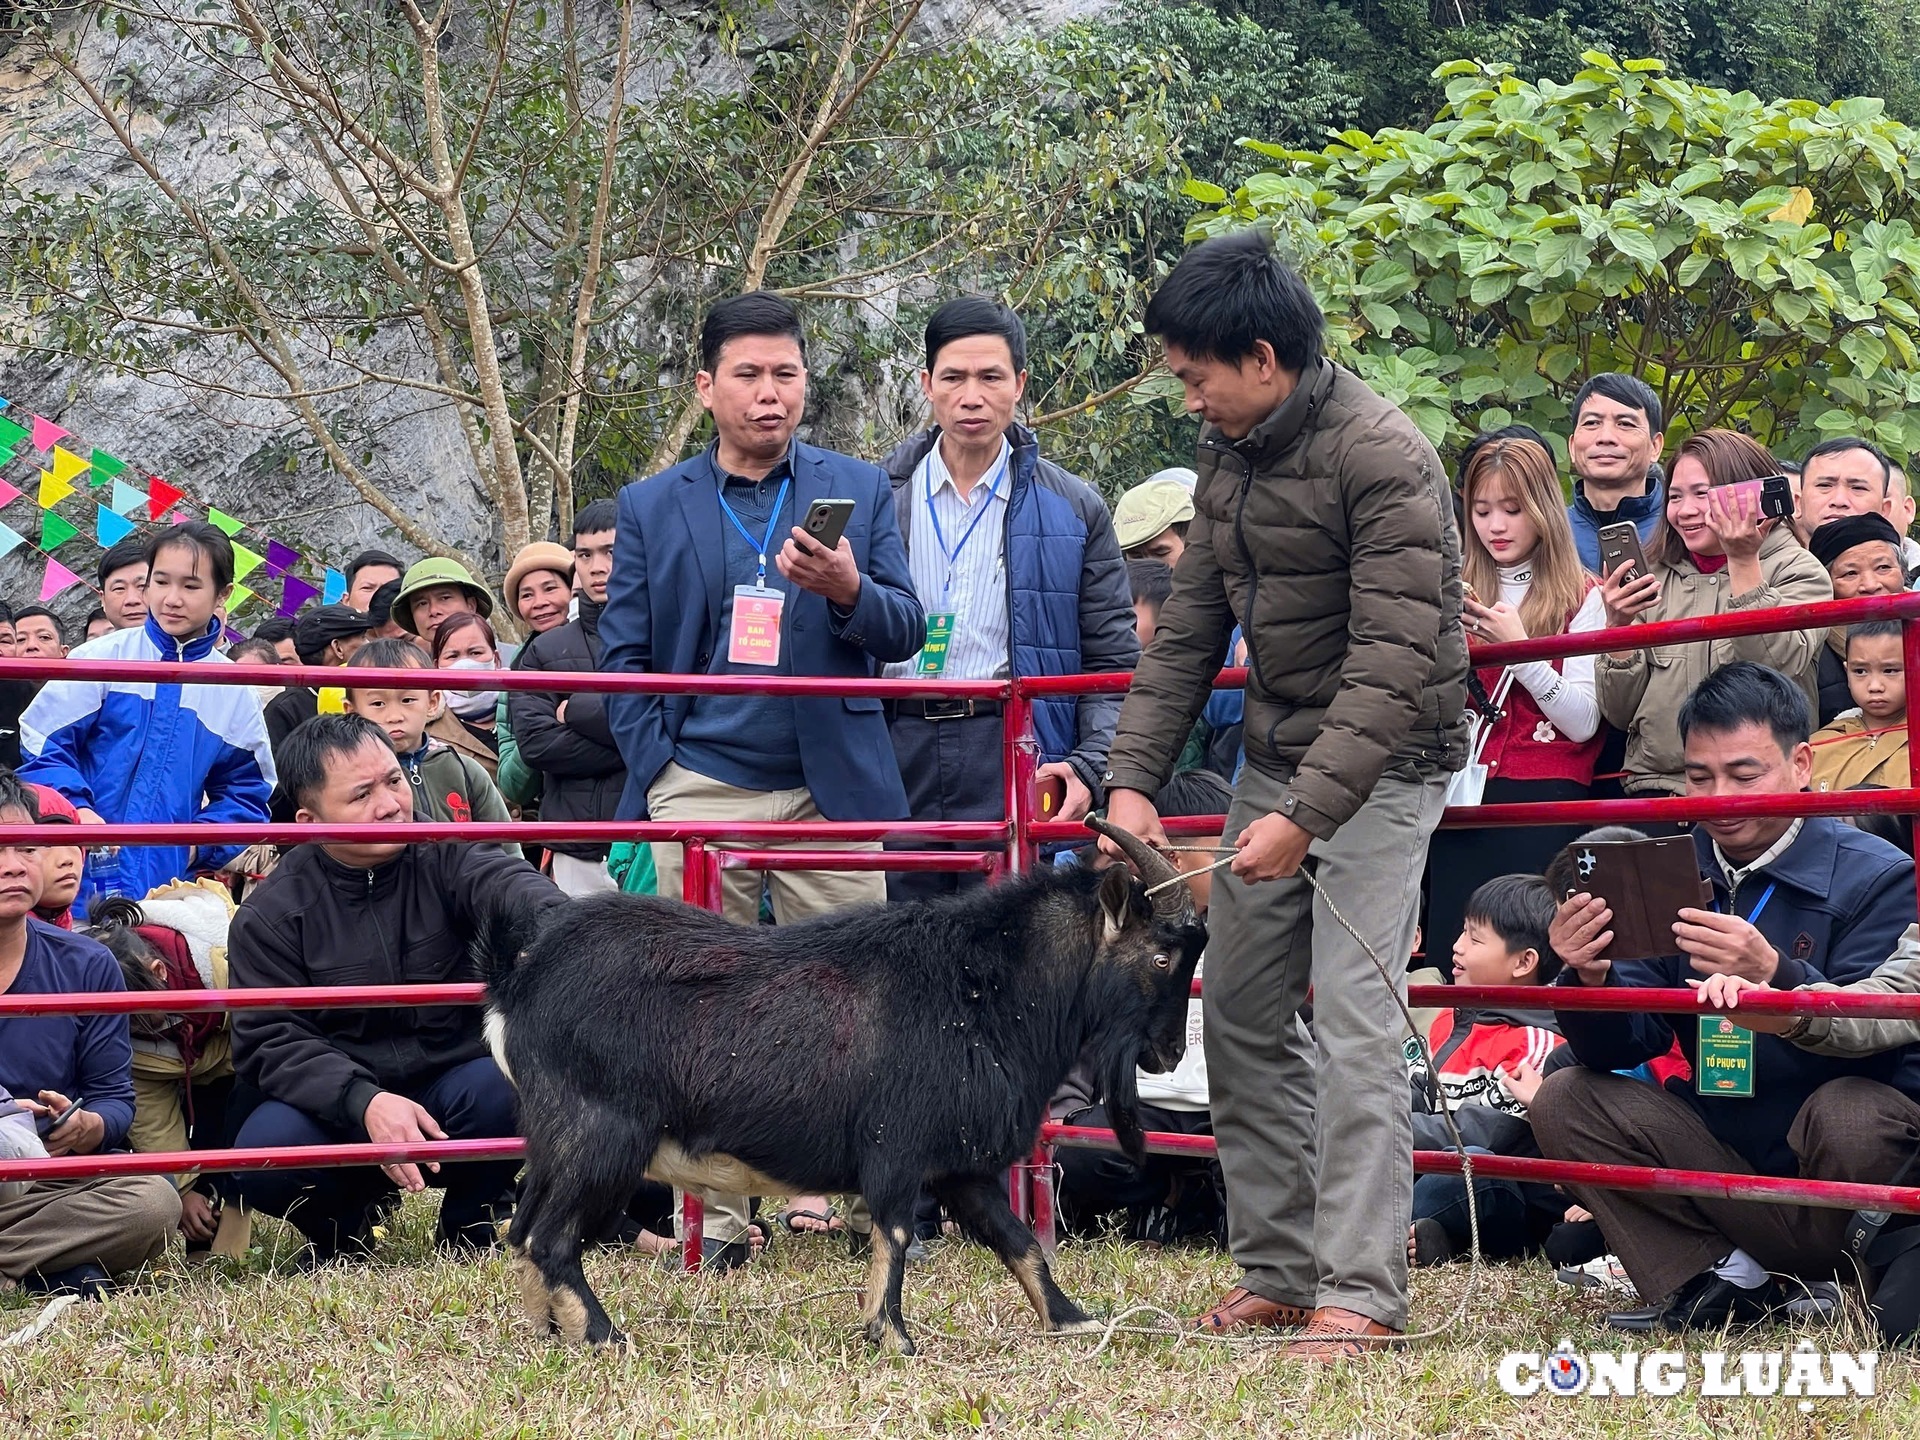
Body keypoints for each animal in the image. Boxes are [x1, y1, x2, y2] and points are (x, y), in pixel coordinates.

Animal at [480, 821, 1198, 1351]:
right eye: (1163, 955)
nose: (1169, 1052)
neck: (982, 991)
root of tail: (519, 982)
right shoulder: (898, 1148)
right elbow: (896, 1236)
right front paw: (893, 1338)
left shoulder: (956, 1164)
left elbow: (1019, 1242)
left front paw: (1073, 1319)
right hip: (601, 1136)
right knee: (550, 1238)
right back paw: (604, 1336)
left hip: (557, 1141)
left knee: (521, 1230)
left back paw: (549, 1335)